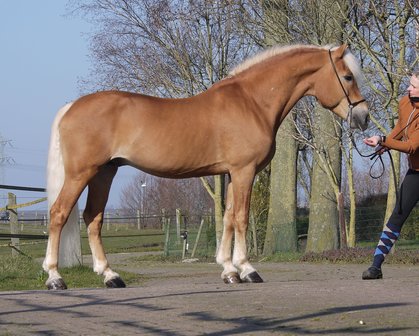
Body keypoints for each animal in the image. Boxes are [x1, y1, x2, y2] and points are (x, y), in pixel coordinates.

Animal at [43, 43, 370, 288]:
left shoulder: (230, 173)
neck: (252, 102)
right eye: (348, 77)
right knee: (59, 214)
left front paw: (228, 270)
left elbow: (227, 218)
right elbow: (241, 218)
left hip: (105, 172)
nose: (364, 117)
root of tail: (71, 107)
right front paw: (247, 269)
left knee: (93, 218)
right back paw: (55, 277)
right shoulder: (244, 171)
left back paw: (110, 275)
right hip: (82, 173)